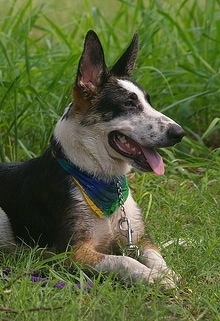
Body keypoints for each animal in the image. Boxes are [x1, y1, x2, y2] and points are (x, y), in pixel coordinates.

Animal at [0, 30, 185, 288]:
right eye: (129, 103)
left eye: (148, 101)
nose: (179, 133)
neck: (96, 176)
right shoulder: (74, 253)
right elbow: (124, 261)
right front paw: (153, 277)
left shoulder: (139, 238)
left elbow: (155, 256)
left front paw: (165, 273)